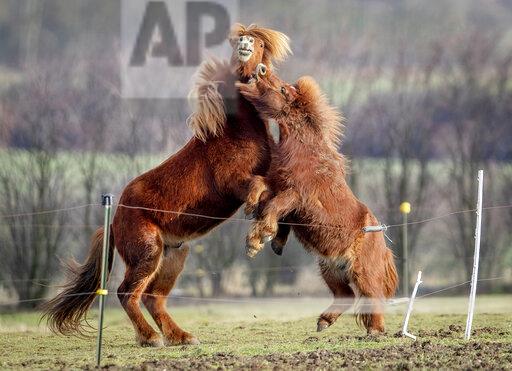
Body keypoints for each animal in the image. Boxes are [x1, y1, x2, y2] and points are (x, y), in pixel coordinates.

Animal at [43, 24, 292, 348]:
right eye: (240, 42)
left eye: (260, 45)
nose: (246, 44)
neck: (235, 130)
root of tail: (115, 220)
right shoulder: (233, 182)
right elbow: (259, 187)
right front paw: (256, 228)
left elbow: (278, 197)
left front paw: (268, 235)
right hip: (148, 253)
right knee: (127, 293)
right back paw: (151, 338)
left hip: (174, 255)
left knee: (153, 298)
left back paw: (181, 337)